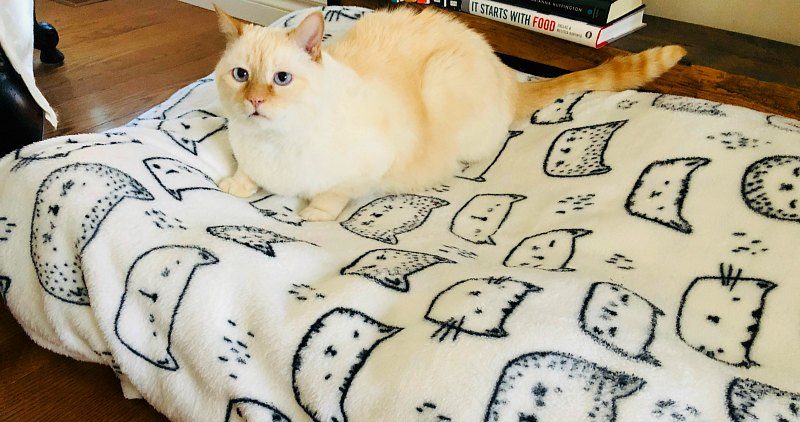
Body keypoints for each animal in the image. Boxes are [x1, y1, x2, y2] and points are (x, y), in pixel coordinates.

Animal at [214, 6, 688, 221]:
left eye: (281, 79)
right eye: (241, 75)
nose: (255, 103)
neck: (273, 143)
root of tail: (507, 77)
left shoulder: (369, 165)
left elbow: (332, 194)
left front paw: (313, 213)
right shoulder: (248, 153)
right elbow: (244, 173)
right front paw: (234, 185)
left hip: (443, 80)